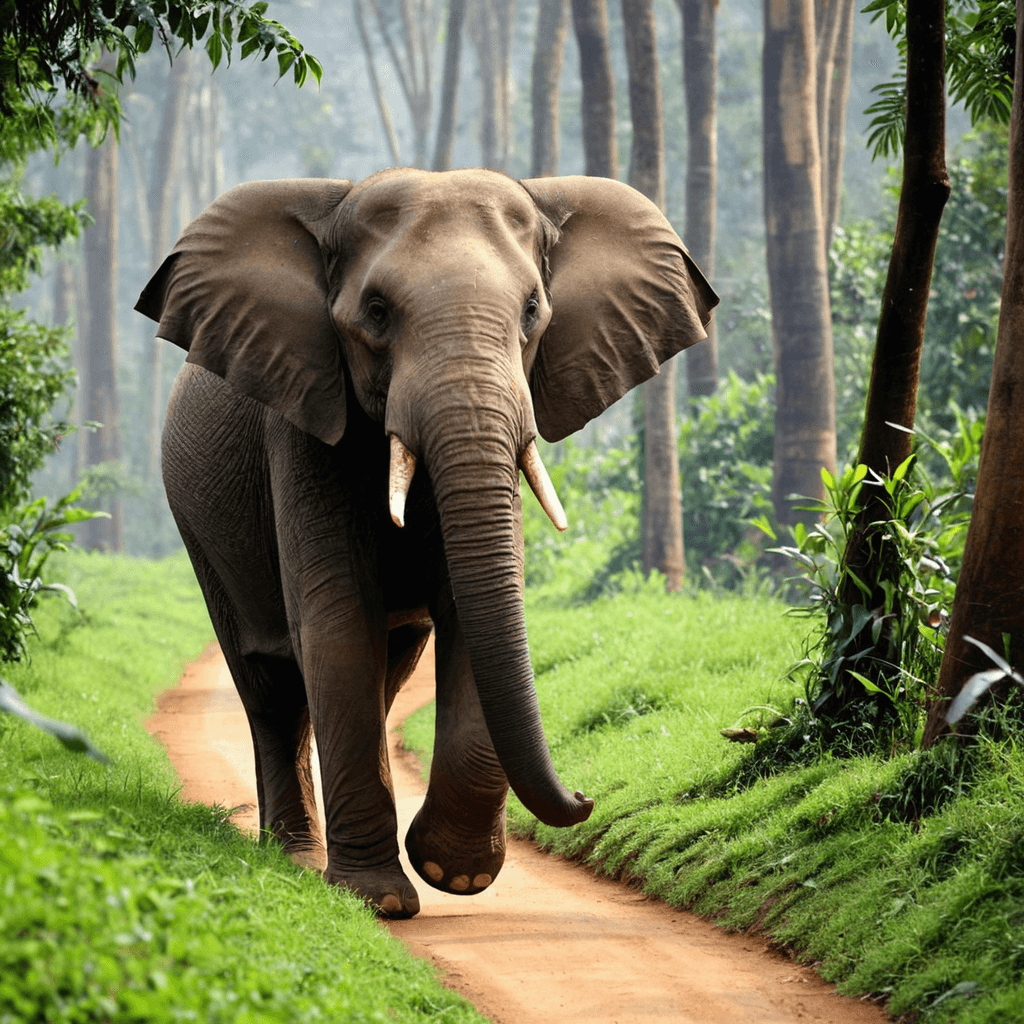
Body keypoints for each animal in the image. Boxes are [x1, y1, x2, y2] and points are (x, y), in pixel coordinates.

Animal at [138, 167, 720, 921]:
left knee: (385, 669)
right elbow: (337, 623)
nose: (588, 796)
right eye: (377, 311)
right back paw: (295, 857)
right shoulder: (301, 423)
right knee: (268, 685)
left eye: (533, 310)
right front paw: (380, 899)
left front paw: (454, 873)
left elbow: (468, 616)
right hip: (198, 527)